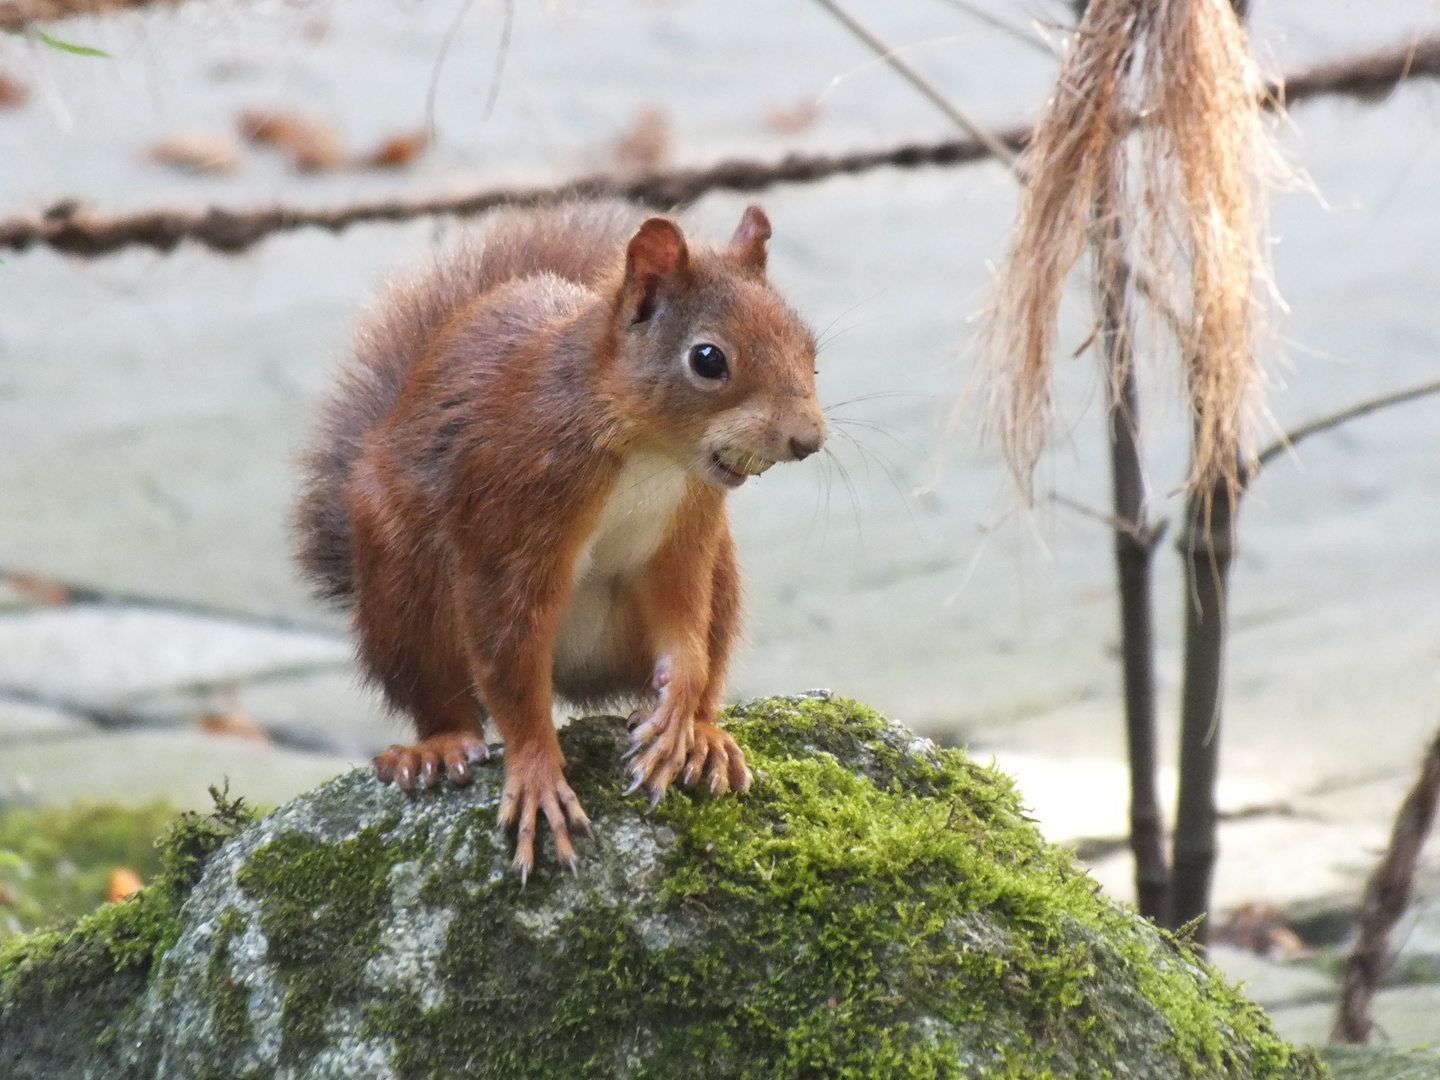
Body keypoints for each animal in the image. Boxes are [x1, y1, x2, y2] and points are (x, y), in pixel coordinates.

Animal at [295, 203, 823, 881]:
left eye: (809, 348)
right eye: (708, 359)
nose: (808, 440)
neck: (650, 451)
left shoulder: (688, 536)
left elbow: (685, 623)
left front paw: (678, 709)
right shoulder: (513, 516)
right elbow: (512, 662)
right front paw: (538, 777)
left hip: (725, 577)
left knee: (713, 650)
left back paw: (703, 734)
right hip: (402, 586)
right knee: (441, 694)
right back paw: (435, 748)